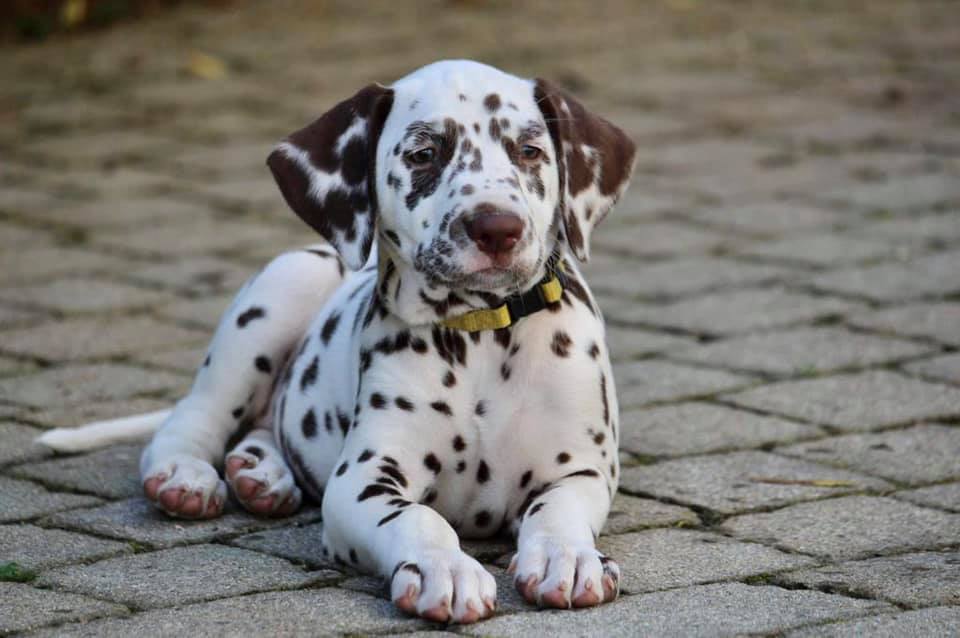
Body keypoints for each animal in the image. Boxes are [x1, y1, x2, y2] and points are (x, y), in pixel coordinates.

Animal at [39, 58, 636, 624]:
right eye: (423, 155)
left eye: (530, 151)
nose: (497, 228)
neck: (480, 337)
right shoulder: (362, 480)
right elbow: (419, 518)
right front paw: (445, 569)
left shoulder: (580, 471)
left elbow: (556, 513)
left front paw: (566, 557)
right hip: (281, 291)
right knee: (194, 416)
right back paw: (186, 476)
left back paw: (261, 472)